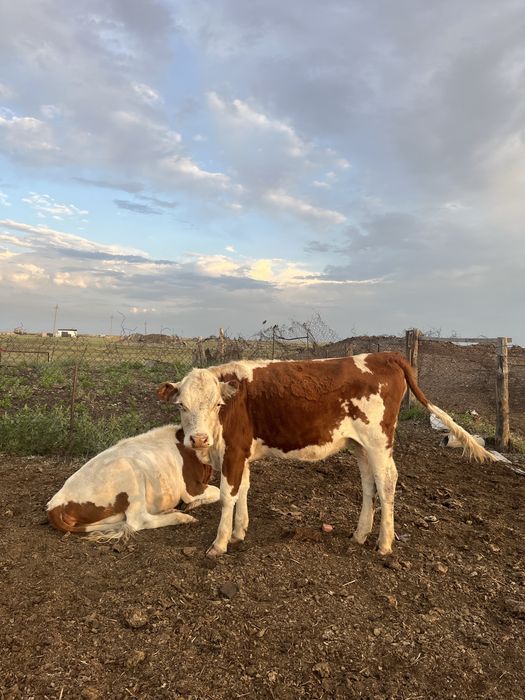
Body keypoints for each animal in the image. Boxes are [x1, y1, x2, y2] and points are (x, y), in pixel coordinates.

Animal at [47, 425, 220, 541]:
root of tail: (55, 503)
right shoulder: (192, 489)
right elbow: (217, 492)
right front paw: (192, 505)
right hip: (129, 472)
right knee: (139, 520)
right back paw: (181, 517)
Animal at [158, 352, 497, 558]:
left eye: (217, 404)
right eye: (181, 405)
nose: (198, 438)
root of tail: (384, 355)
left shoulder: (233, 450)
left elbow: (228, 496)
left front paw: (220, 542)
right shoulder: (241, 453)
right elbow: (242, 490)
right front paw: (239, 531)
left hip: (379, 443)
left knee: (386, 483)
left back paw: (385, 543)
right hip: (361, 446)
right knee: (368, 485)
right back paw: (360, 534)